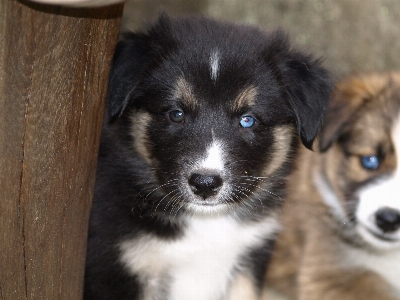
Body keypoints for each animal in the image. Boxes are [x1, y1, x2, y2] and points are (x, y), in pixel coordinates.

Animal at [84, 14, 332, 300]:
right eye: (176, 113)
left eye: (248, 120)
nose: (205, 184)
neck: (206, 223)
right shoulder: (118, 268)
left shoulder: (247, 263)